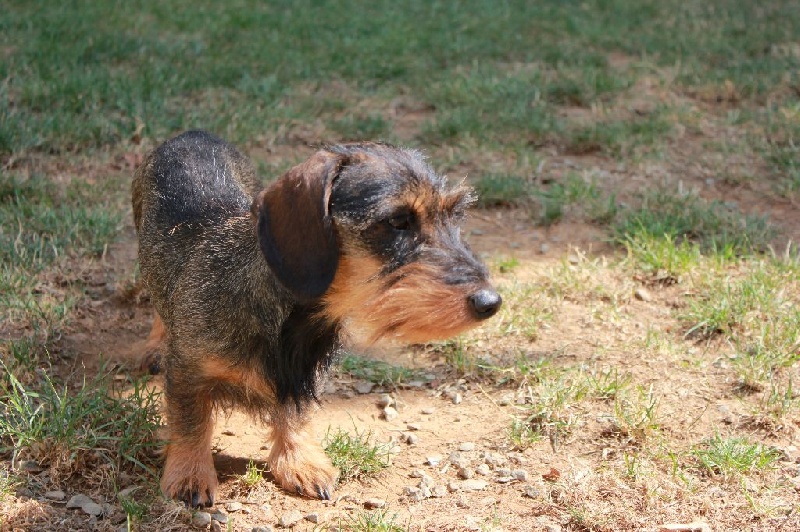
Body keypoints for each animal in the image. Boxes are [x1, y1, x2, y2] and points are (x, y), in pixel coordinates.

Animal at [134, 130, 504, 508]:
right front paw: (190, 475)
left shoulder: (304, 373)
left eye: (455, 215)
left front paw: (300, 462)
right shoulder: (187, 371)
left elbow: (295, 414)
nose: (490, 302)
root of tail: (193, 134)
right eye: (397, 221)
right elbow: (191, 422)